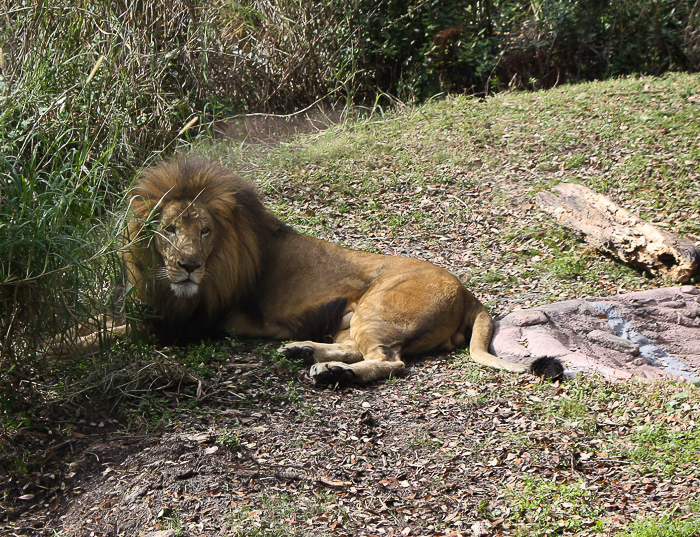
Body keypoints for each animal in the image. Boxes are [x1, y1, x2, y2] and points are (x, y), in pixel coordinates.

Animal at [75, 157, 564, 384]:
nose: (189, 266)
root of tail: (467, 291)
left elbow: (90, 339)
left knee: (389, 362)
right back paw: (305, 352)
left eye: (206, 231)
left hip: (379, 309)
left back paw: (332, 375)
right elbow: (93, 325)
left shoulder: (179, 326)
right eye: (169, 230)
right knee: (355, 349)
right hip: (353, 317)